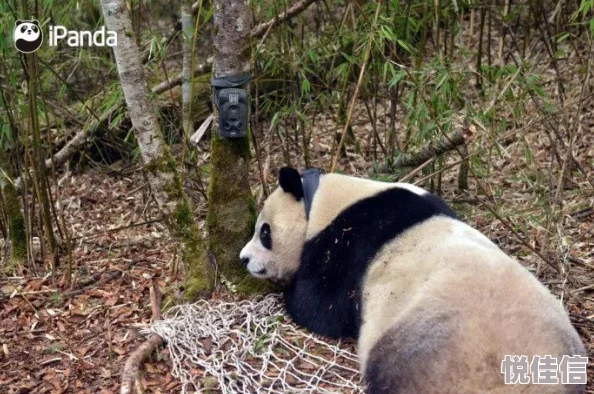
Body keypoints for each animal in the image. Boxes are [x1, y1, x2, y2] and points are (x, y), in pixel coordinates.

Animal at [238, 167, 584, 394]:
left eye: (264, 232)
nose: (243, 259)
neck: (322, 201)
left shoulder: (349, 242)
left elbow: (321, 307)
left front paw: (289, 291)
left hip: (427, 348)